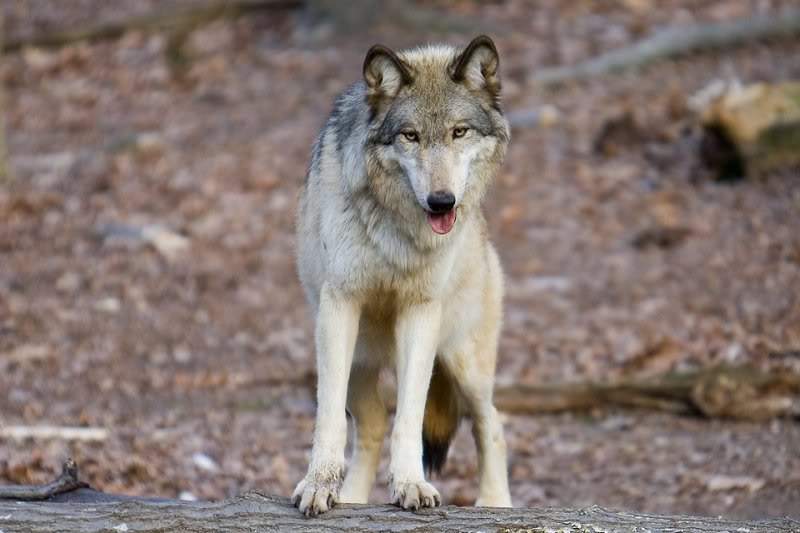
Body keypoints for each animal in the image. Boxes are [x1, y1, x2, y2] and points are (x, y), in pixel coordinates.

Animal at [292, 35, 512, 516]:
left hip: (464, 362)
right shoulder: (340, 306)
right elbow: (329, 417)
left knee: (492, 423)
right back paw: (351, 499)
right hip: (358, 360)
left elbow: (409, 415)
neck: (398, 231)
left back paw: (495, 504)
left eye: (458, 132)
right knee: (371, 425)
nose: (442, 202)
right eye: (410, 136)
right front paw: (318, 486)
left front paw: (411, 484)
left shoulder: (421, 311)